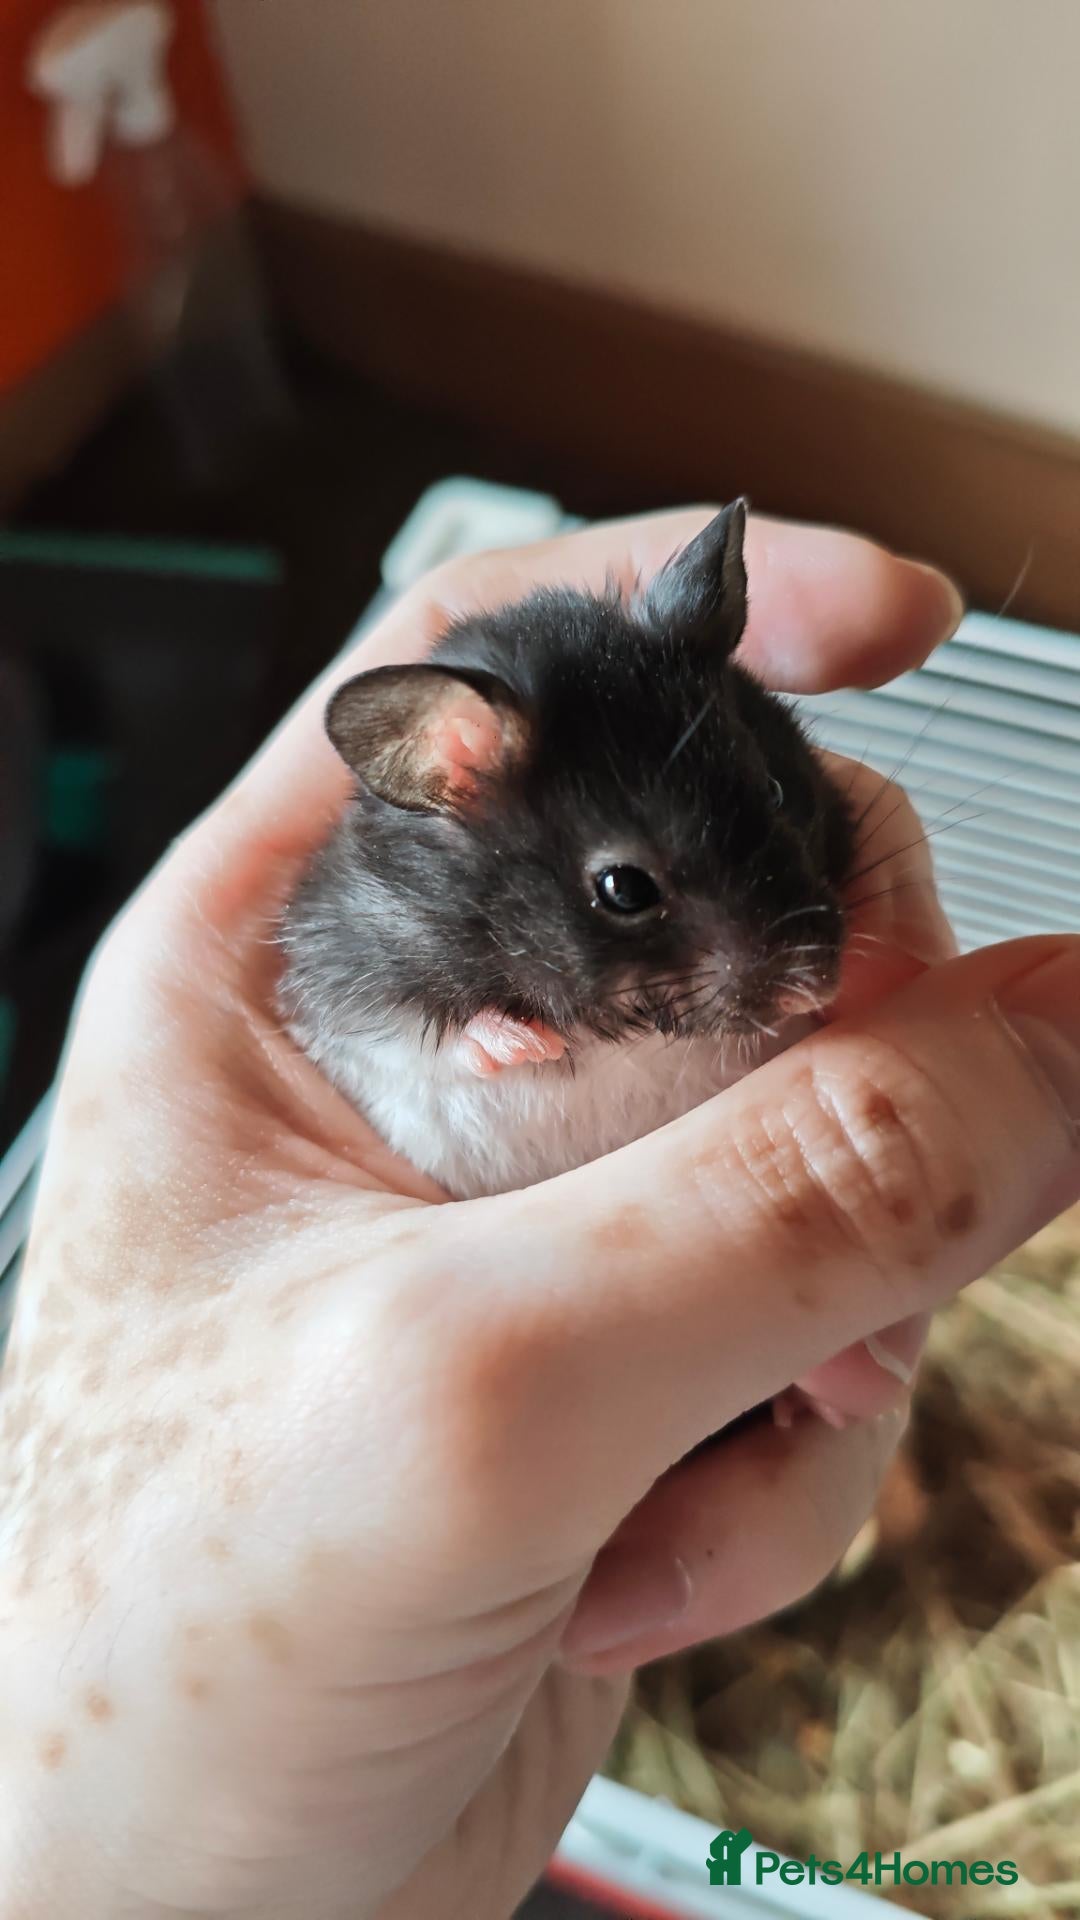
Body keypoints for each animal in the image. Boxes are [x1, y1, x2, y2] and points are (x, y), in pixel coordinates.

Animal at [279, 502, 855, 1201]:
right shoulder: (340, 989)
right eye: (625, 889)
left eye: (775, 791)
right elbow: (437, 1037)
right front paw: (528, 1046)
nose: (818, 990)